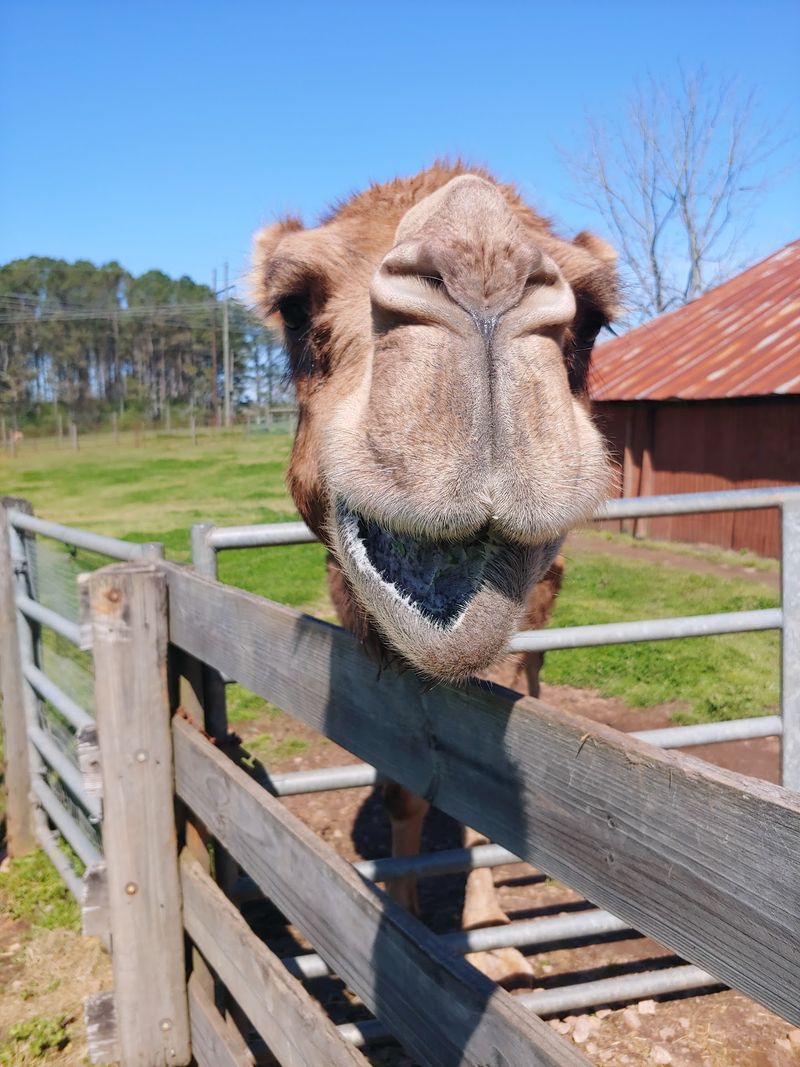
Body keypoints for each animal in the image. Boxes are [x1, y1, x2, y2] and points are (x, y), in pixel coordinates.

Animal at [251, 162, 619, 984]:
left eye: (593, 322)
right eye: (293, 308)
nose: (481, 259)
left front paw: (496, 941)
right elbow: (402, 793)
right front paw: (410, 918)